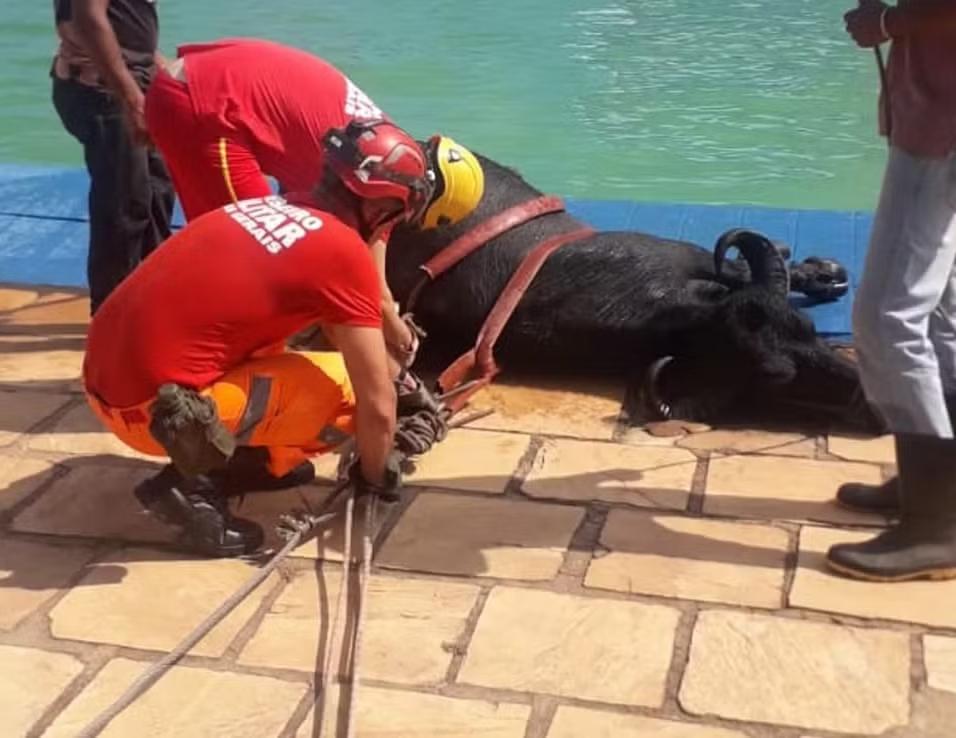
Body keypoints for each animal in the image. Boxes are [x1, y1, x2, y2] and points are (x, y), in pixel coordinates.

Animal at [386, 155, 880, 432]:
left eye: (808, 328)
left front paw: (816, 271)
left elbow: (740, 268)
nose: (874, 405)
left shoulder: (693, 258)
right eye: (776, 376)